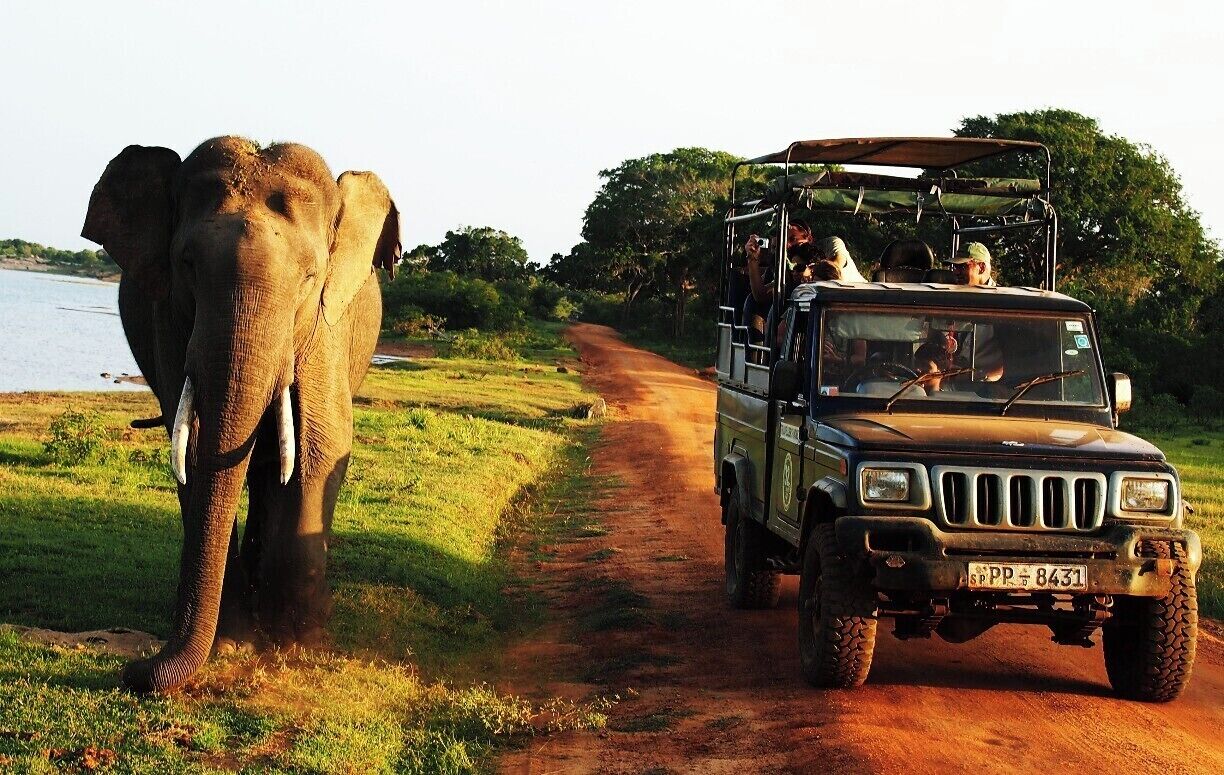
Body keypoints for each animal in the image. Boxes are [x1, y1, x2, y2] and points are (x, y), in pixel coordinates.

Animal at [82, 136, 400, 693]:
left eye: (311, 277)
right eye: (186, 264)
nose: (133, 669)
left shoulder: (324, 328)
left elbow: (321, 448)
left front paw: (295, 646)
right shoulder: (170, 320)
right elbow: (192, 452)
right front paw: (234, 645)